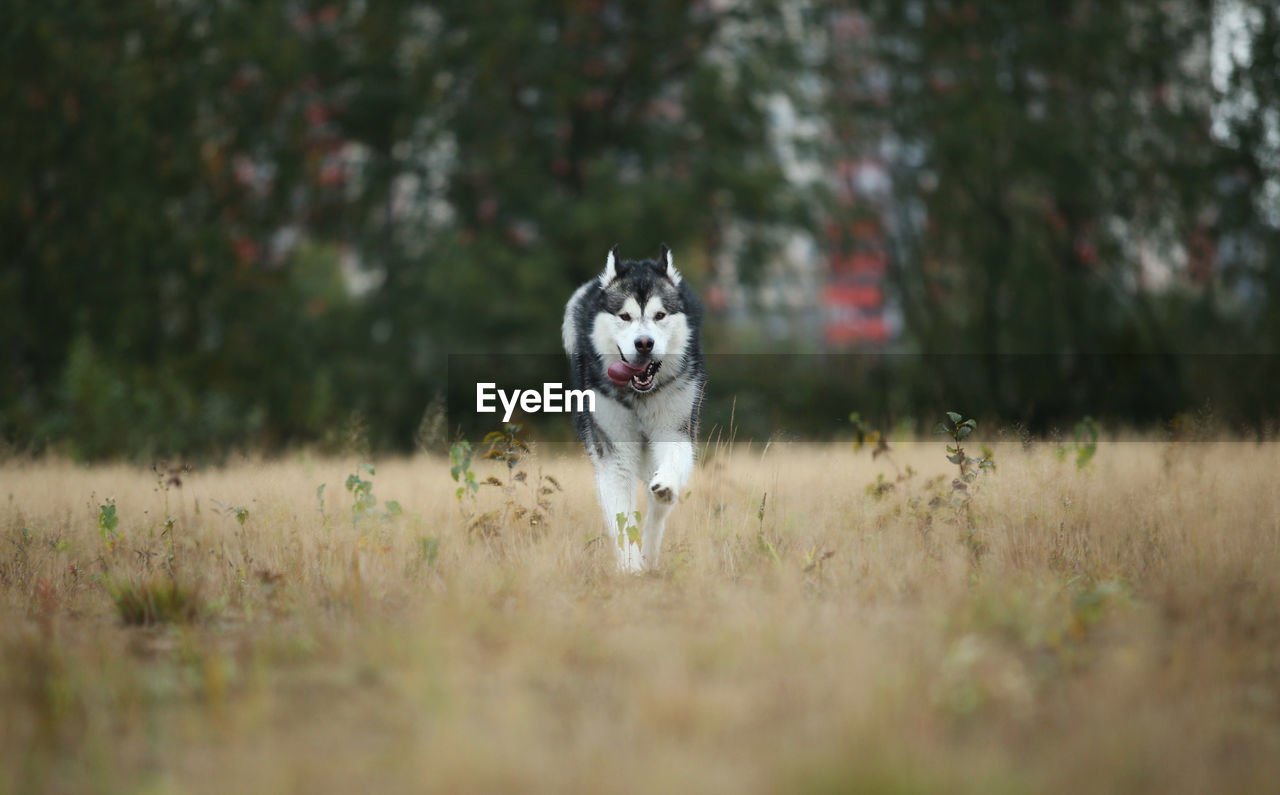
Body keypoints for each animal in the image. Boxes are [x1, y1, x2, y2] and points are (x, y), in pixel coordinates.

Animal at [565, 243, 711, 570]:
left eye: (659, 315)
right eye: (624, 316)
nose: (644, 343)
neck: (640, 396)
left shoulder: (675, 428)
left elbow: (671, 466)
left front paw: (666, 486)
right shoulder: (614, 452)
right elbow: (621, 516)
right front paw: (630, 568)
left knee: (656, 510)